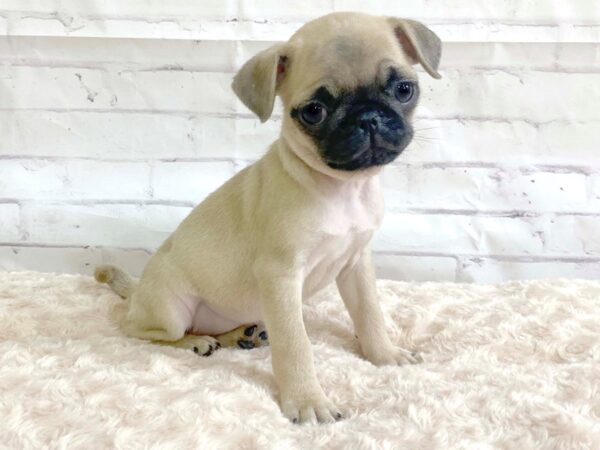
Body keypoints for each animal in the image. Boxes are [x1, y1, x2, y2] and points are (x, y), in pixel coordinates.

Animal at [95, 12, 440, 424]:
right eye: (314, 111)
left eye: (404, 90)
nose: (368, 118)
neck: (342, 188)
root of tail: (137, 292)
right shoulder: (281, 277)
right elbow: (295, 344)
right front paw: (308, 401)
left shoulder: (356, 264)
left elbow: (369, 313)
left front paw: (384, 355)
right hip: (170, 311)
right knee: (142, 330)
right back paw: (196, 342)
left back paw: (237, 335)